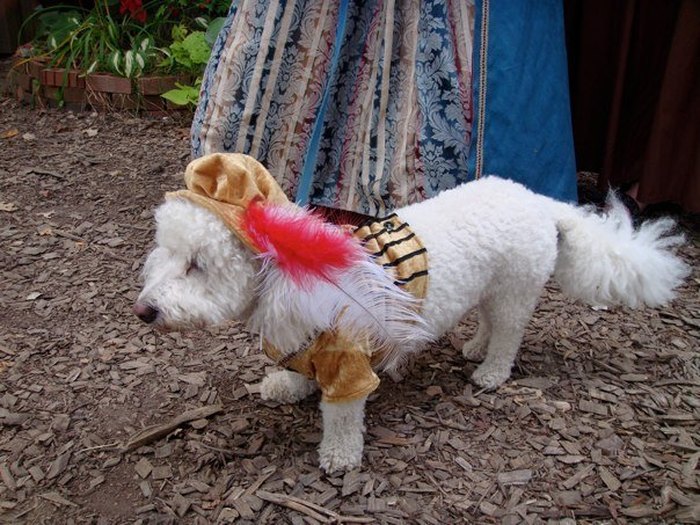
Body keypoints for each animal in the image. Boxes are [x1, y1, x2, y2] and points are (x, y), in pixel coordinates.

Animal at [134, 175, 688, 470]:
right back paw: (475, 347)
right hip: (491, 287)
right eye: (167, 252)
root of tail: (541, 201)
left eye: (197, 265)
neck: (288, 277)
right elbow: (299, 371)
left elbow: (341, 414)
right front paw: (288, 385)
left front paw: (339, 456)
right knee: (488, 321)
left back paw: (491, 372)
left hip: (516, 289)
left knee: (510, 334)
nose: (145, 311)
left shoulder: (349, 364)